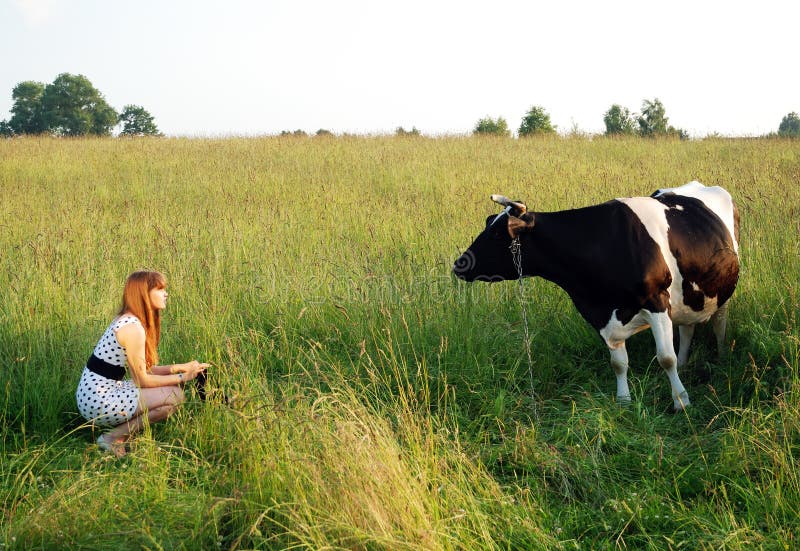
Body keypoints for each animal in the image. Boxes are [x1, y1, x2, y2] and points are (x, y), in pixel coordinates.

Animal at [454, 181, 740, 410]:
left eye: (496, 233)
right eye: (488, 225)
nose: (459, 264)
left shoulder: (657, 302)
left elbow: (665, 358)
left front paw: (681, 400)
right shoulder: (603, 316)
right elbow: (619, 363)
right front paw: (623, 400)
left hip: (723, 289)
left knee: (719, 323)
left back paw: (722, 358)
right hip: (687, 296)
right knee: (687, 328)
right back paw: (684, 364)